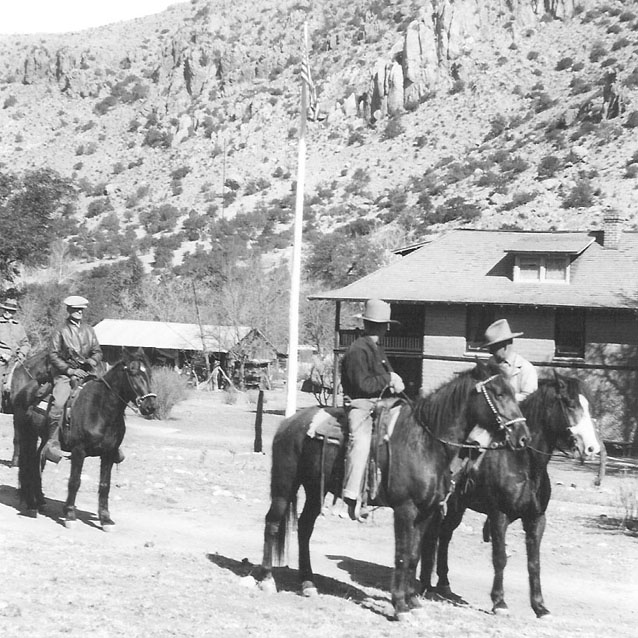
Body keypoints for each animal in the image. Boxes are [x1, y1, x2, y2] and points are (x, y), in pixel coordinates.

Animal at [258, 368, 532, 624]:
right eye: (499, 394)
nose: (523, 437)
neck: (425, 443)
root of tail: (289, 422)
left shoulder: (425, 512)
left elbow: (413, 556)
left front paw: (413, 602)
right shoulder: (405, 509)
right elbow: (401, 555)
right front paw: (400, 606)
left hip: (316, 490)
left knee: (304, 528)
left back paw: (308, 583)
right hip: (285, 485)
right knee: (272, 523)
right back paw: (267, 579)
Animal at [422, 376, 604, 620]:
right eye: (569, 403)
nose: (592, 448)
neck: (524, 463)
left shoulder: (536, 519)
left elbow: (534, 563)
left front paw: (540, 606)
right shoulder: (499, 516)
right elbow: (500, 558)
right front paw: (499, 602)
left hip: (457, 509)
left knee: (444, 537)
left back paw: (443, 585)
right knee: (434, 537)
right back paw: (427, 584)